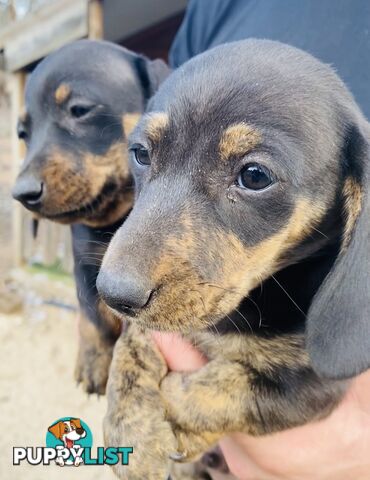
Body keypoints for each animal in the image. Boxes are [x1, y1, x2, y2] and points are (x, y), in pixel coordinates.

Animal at [12, 39, 170, 394]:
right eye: (22, 133)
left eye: (80, 110)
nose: (21, 194)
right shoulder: (83, 261)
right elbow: (90, 311)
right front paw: (92, 360)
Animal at [96, 38, 370, 480]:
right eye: (140, 154)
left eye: (255, 176)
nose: (113, 294)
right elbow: (133, 343)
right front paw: (133, 428)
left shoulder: (315, 386)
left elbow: (233, 389)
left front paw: (175, 410)